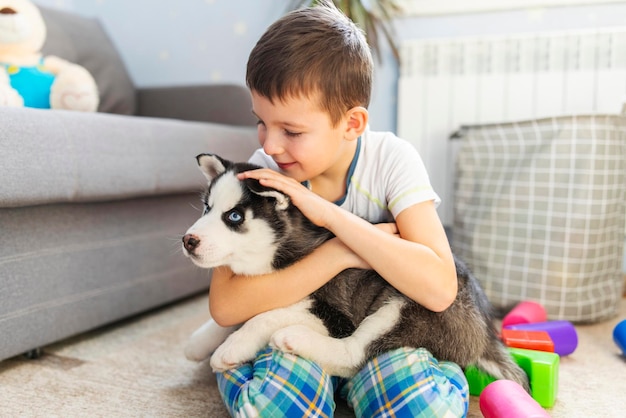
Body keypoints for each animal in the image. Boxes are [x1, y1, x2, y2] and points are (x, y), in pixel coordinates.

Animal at [180, 154, 528, 392]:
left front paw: (231, 347)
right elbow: (232, 313)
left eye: (234, 216)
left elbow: (266, 315)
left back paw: (293, 338)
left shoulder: (335, 315)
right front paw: (198, 341)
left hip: (403, 307)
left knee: (354, 355)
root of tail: (486, 332)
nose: (188, 240)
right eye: (207, 208)